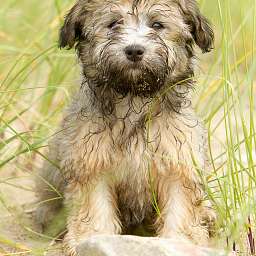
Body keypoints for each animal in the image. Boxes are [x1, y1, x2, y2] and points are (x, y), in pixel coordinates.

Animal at [36, 1, 215, 255]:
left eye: (157, 25)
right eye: (113, 24)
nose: (134, 50)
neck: (134, 96)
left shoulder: (178, 163)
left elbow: (180, 207)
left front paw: (181, 241)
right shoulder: (91, 164)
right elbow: (95, 206)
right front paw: (91, 237)